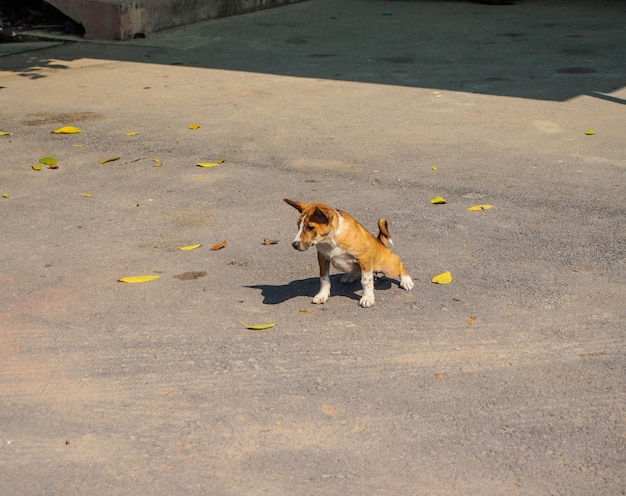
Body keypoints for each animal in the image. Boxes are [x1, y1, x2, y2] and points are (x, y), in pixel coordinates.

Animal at [284, 198, 412, 306]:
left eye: (310, 227)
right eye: (298, 225)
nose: (294, 245)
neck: (330, 240)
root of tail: (380, 242)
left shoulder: (364, 258)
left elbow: (366, 281)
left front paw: (367, 298)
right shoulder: (322, 258)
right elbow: (324, 279)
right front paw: (322, 295)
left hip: (388, 267)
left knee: (399, 262)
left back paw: (406, 281)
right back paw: (350, 276)